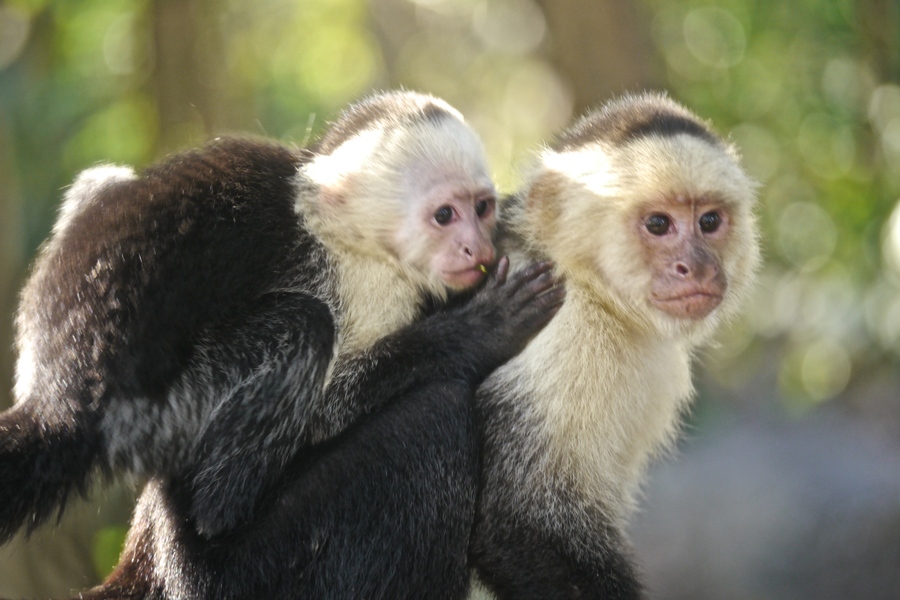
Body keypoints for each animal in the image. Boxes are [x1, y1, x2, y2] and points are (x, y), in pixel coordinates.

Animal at [0, 91, 516, 548]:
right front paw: (476, 330)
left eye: (482, 208)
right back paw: (224, 508)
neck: (341, 230)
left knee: (104, 182)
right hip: (152, 413)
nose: (476, 247)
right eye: (445, 215)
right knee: (305, 323)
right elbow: (329, 409)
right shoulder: (360, 282)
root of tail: (58, 398)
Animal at [468, 90, 764, 600]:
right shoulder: (566, 336)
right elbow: (520, 524)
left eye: (709, 221)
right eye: (659, 224)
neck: (594, 291)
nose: (697, 267)